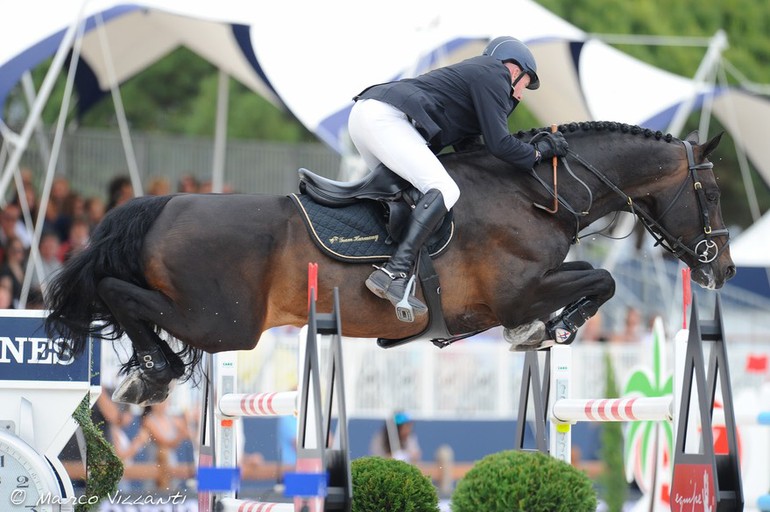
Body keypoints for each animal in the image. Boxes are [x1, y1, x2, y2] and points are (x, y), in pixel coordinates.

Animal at [45, 121, 736, 404]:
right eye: (711, 193)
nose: (722, 269)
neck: (538, 190)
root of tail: (164, 204)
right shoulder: (517, 290)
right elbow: (603, 278)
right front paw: (547, 330)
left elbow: (598, 280)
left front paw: (541, 331)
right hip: (224, 324)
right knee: (117, 293)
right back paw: (153, 371)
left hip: (216, 321)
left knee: (119, 295)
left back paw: (145, 375)